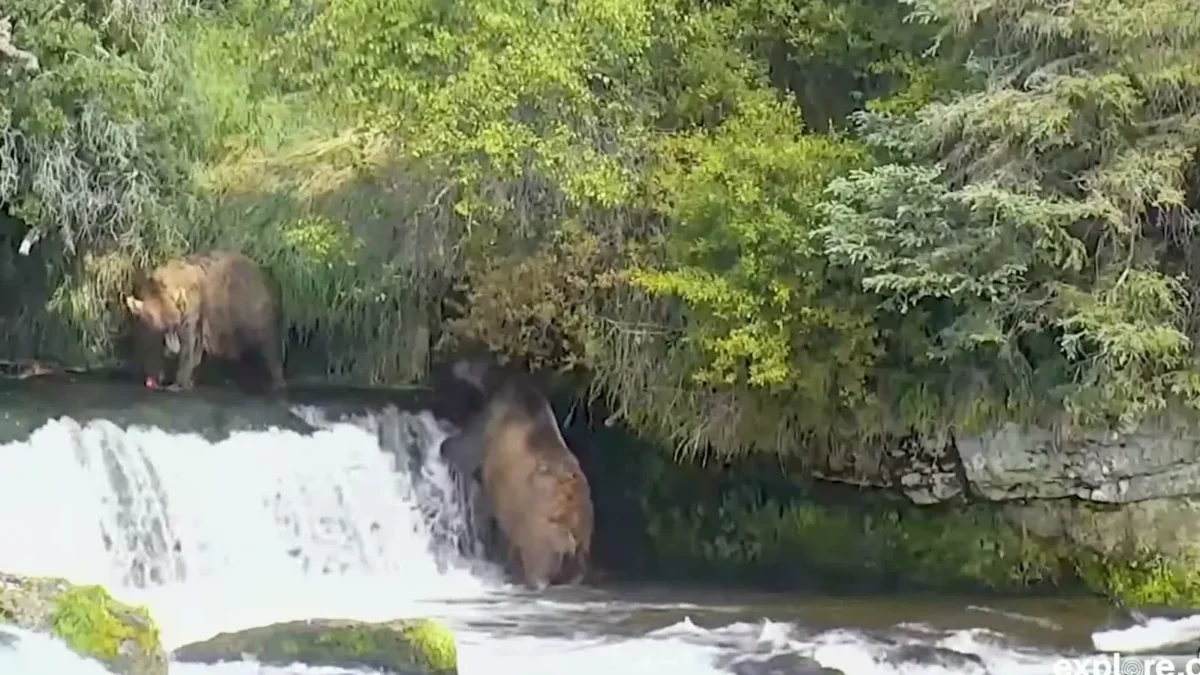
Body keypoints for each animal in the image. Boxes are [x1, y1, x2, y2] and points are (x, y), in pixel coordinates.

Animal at [123, 250, 286, 393]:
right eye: (164, 328)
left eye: (174, 324)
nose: (172, 350)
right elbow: (151, 347)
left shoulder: (192, 313)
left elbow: (188, 346)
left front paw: (179, 383)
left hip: (249, 309)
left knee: (267, 342)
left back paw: (275, 380)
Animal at [433, 354, 594, 590]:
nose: (451, 366)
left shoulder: (492, 424)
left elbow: (467, 446)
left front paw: (446, 445)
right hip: (581, 541)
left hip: (542, 529)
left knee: (536, 559)